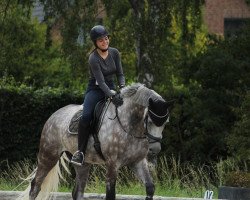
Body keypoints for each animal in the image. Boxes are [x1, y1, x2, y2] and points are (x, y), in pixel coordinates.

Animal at [18, 83, 173, 200]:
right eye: (150, 121)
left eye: (166, 123)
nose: (155, 150)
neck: (129, 125)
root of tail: (54, 115)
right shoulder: (112, 165)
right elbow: (110, 195)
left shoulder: (137, 162)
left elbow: (150, 188)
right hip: (48, 155)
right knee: (35, 186)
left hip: (82, 164)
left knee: (77, 192)